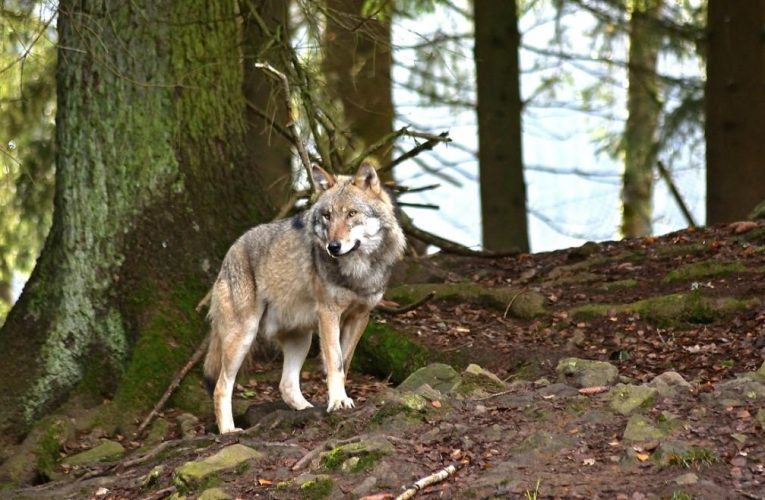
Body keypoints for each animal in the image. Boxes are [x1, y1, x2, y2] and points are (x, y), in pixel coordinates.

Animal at [203, 162, 406, 433]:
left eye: (352, 214)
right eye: (327, 216)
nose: (333, 246)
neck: (357, 271)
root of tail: (231, 250)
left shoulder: (360, 316)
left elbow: (344, 362)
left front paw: (339, 399)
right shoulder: (329, 314)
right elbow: (334, 361)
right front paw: (338, 401)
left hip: (301, 338)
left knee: (286, 385)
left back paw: (307, 410)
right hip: (244, 337)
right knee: (221, 386)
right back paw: (228, 430)